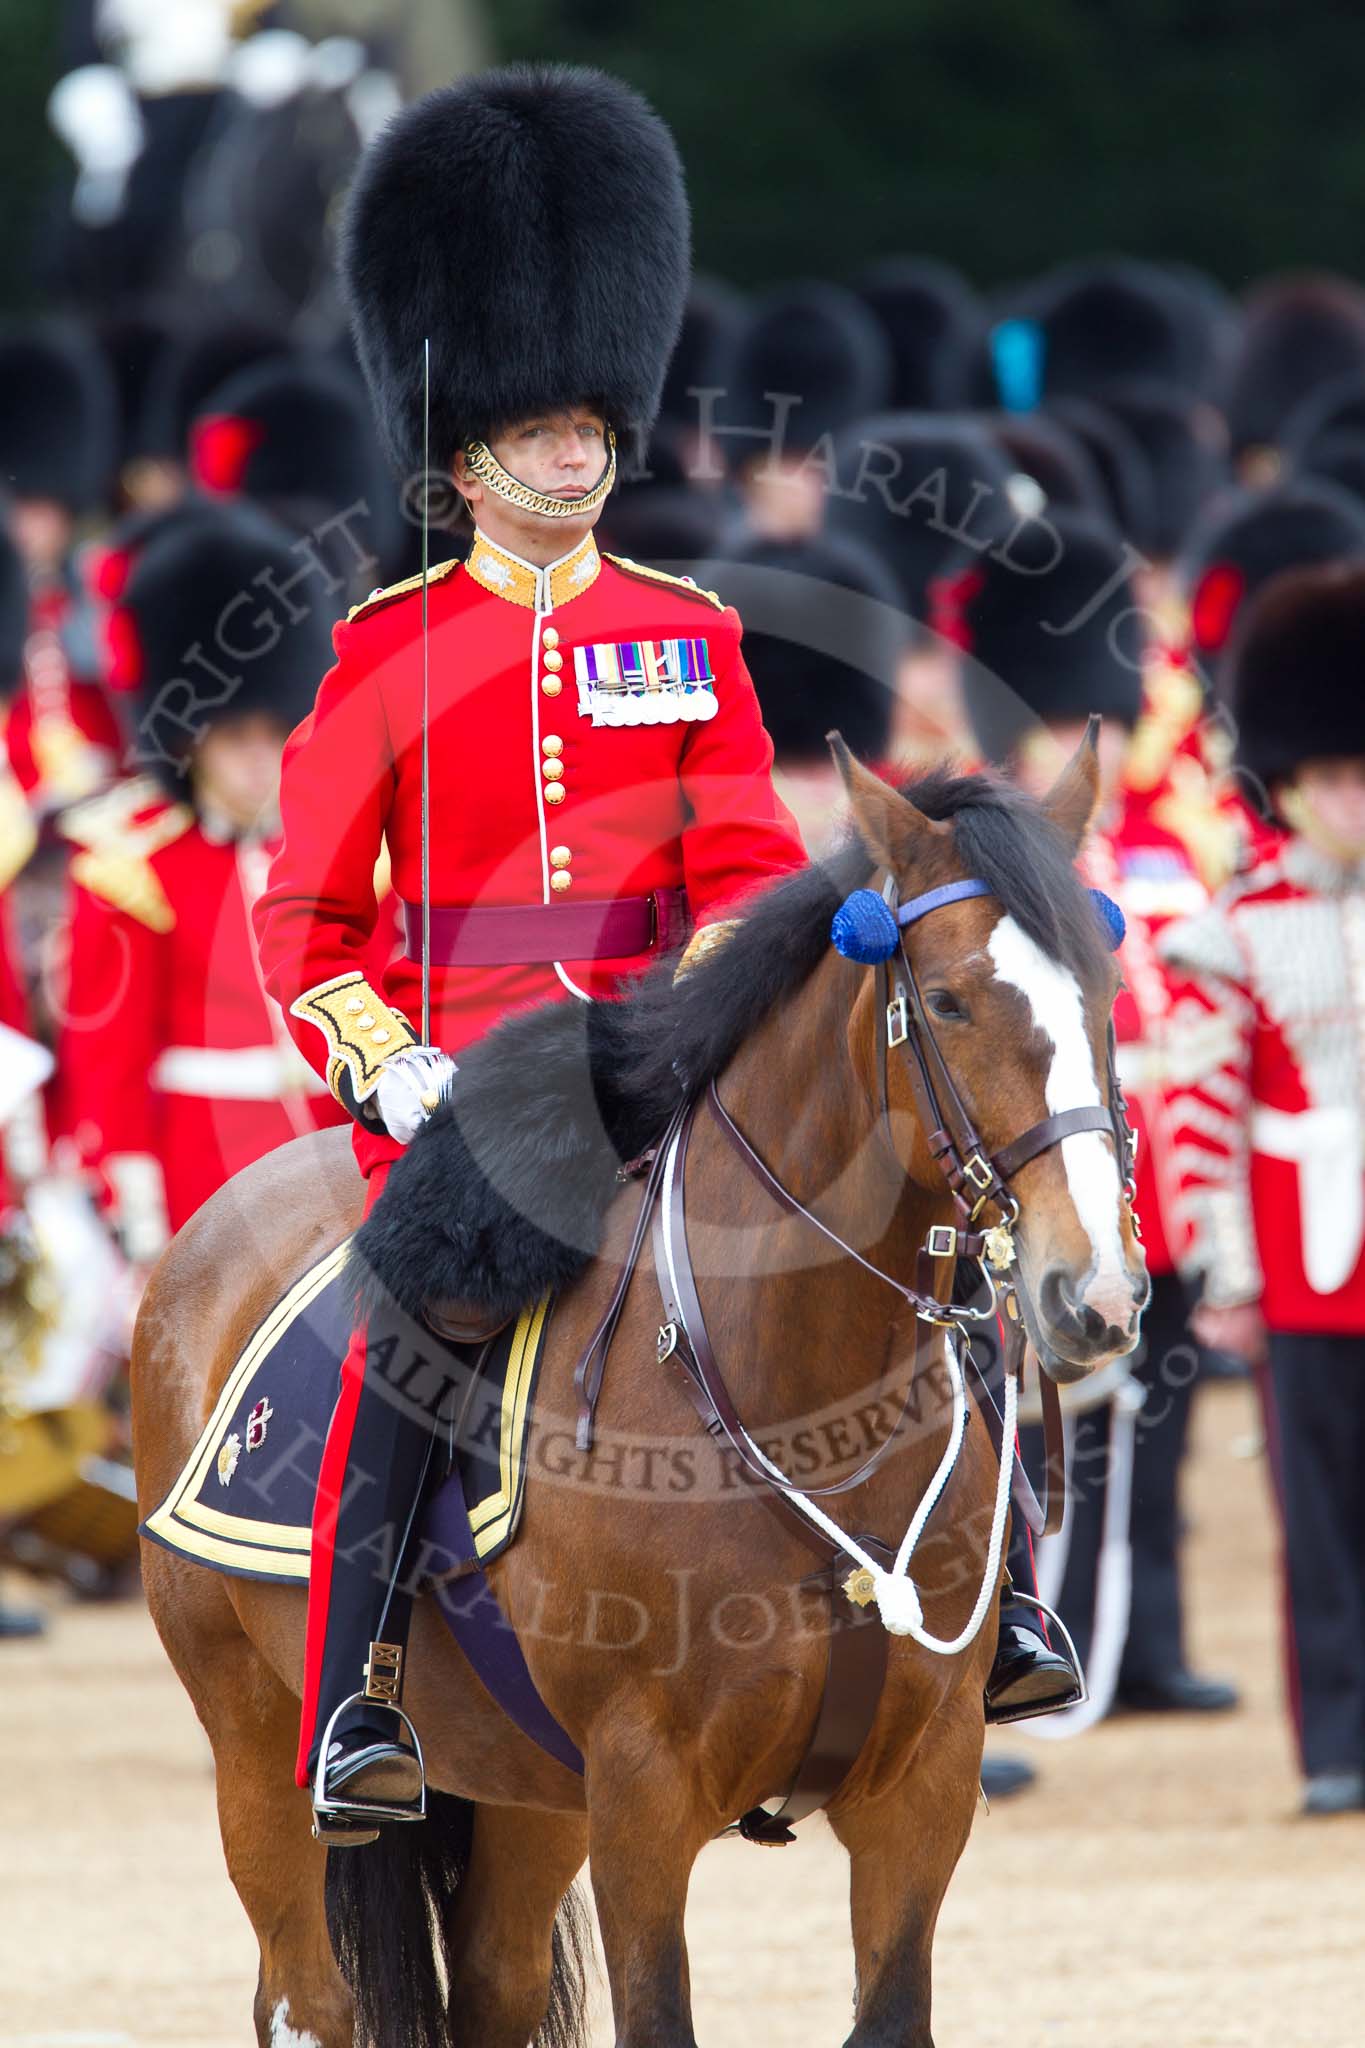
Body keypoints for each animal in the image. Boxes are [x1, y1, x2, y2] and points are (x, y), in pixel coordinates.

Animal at [133, 741, 1146, 2048]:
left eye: (1105, 998)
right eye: (953, 1001)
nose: (1096, 1290)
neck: (801, 1404)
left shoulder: (923, 1788)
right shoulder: (643, 1794)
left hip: (525, 1795)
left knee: (494, 1988)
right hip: (258, 1742)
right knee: (306, 1999)